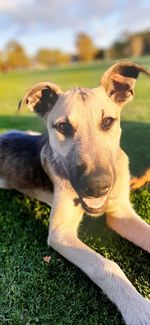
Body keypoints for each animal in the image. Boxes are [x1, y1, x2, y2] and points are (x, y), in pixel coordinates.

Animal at [0, 61, 149, 324]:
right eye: (63, 127)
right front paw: (139, 309)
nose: (98, 186)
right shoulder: (60, 233)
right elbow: (106, 266)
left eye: (108, 122)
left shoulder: (121, 213)